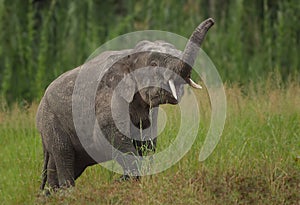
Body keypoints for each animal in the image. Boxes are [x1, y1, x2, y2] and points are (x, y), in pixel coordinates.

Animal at [36, 17, 214, 191]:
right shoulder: (107, 95)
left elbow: (147, 139)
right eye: (154, 64)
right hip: (51, 119)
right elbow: (106, 135)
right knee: (63, 153)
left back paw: (52, 193)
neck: (129, 55)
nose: (211, 21)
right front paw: (123, 181)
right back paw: (67, 193)